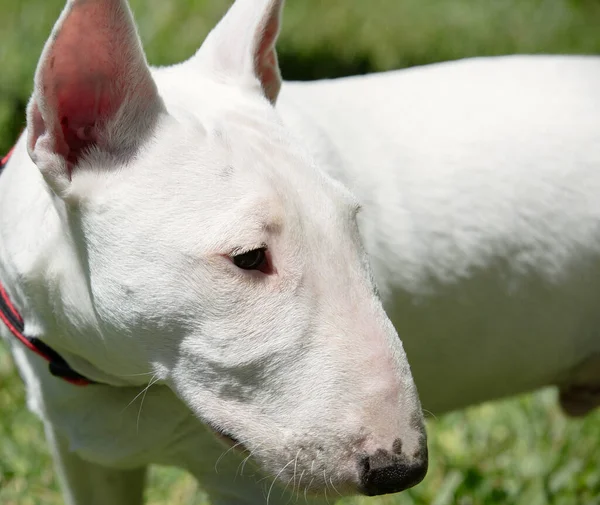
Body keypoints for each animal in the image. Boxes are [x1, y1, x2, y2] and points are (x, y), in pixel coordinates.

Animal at [0, 0, 596, 502]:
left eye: (353, 227)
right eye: (248, 257)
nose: (400, 470)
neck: (119, 380)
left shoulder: (247, 481)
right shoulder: (83, 452)